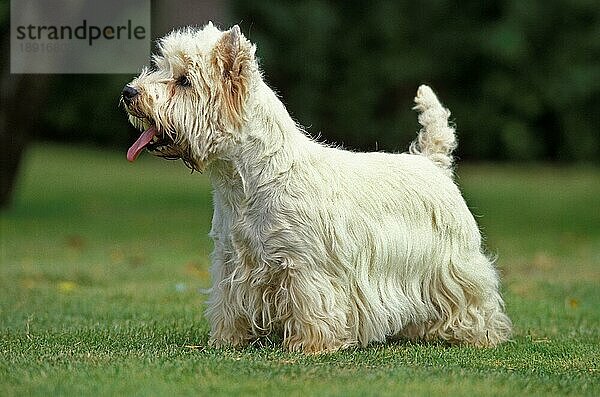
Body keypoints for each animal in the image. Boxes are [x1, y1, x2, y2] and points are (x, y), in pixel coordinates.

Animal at [122, 23, 510, 352]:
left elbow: (311, 306)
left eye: (184, 80)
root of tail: (433, 163)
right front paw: (226, 340)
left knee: (475, 299)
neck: (243, 184)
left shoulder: (304, 265)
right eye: (160, 68)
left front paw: (309, 346)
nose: (129, 92)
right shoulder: (230, 261)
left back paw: (479, 335)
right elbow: (228, 303)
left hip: (455, 263)